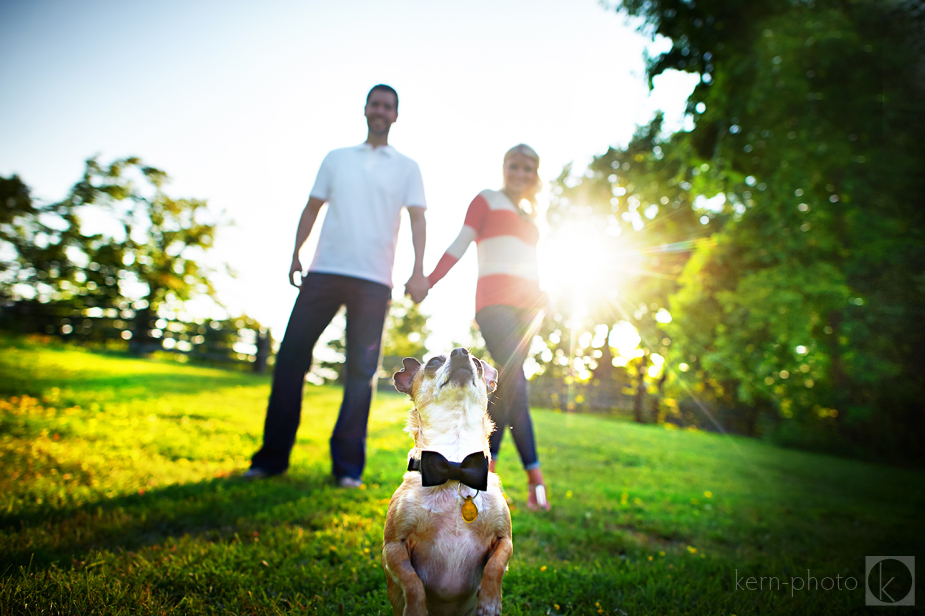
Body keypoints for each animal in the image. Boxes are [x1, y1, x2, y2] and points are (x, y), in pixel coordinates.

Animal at [380, 346, 512, 616]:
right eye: (433, 362)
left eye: (478, 364)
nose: (461, 352)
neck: (455, 465)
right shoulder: (393, 547)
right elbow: (412, 582)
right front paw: (416, 609)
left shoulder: (505, 540)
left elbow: (494, 567)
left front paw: (490, 602)